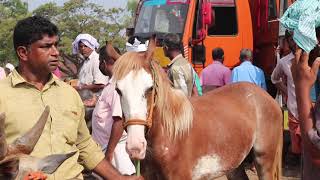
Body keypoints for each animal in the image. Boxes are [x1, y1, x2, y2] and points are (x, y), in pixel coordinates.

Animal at [112, 51, 282, 179]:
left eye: (149, 88)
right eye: (118, 90)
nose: (135, 146)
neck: (170, 134)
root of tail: (266, 96)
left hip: (264, 160)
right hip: (234, 165)